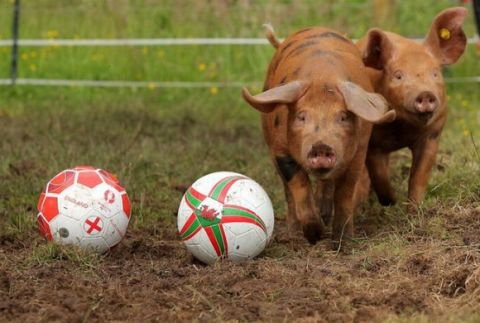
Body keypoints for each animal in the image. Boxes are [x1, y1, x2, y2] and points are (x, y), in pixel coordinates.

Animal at [242, 26, 396, 247]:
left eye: (343, 116)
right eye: (301, 116)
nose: (320, 146)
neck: (322, 76)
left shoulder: (358, 152)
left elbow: (344, 192)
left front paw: (342, 242)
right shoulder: (279, 150)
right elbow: (299, 185)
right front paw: (314, 236)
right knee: (288, 193)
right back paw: (293, 232)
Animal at [356, 7, 464, 208]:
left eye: (435, 73)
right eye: (398, 76)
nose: (425, 94)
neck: (401, 128)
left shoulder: (433, 134)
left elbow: (419, 176)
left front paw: (415, 208)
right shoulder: (373, 143)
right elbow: (379, 176)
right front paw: (391, 202)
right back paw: (360, 201)